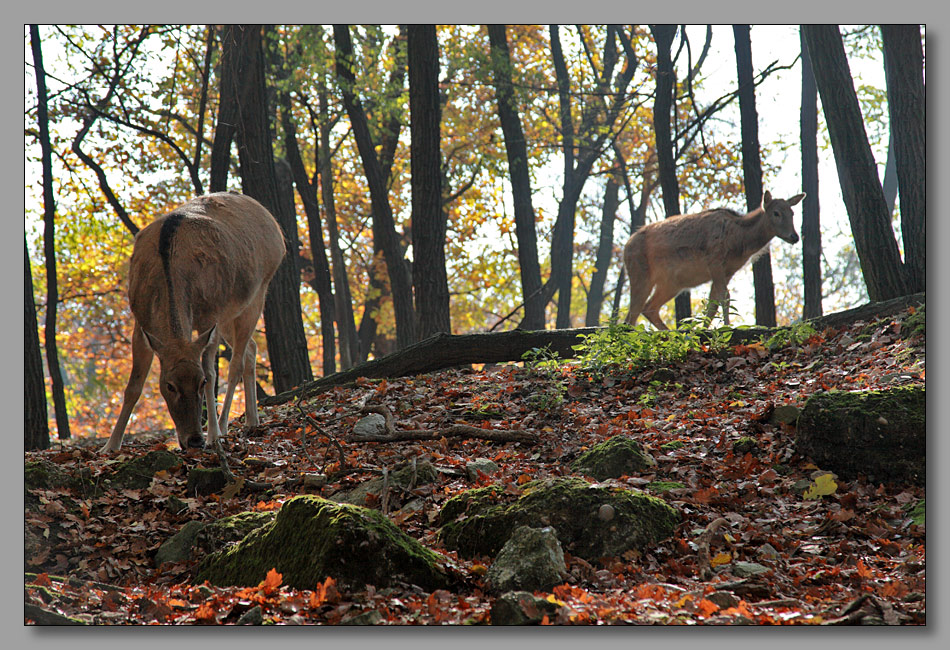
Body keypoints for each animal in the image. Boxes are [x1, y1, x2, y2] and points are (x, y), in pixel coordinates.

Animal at [102, 192, 286, 450]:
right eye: (169, 385)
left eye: (200, 382)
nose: (194, 440)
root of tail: (276, 228)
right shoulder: (141, 321)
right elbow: (133, 387)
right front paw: (110, 446)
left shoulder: (212, 314)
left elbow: (212, 371)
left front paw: (213, 435)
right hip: (231, 314)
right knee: (251, 348)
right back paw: (252, 420)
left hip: (257, 293)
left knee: (237, 362)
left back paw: (225, 427)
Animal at [620, 189, 808, 330]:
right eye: (776, 213)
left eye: (792, 213)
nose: (794, 236)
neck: (739, 243)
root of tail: (626, 247)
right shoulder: (714, 260)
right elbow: (725, 296)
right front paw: (727, 326)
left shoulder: (728, 271)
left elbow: (713, 304)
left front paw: (704, 330)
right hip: (640, 275)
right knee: (631, 315)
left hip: (671, 284)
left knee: (648, 308)